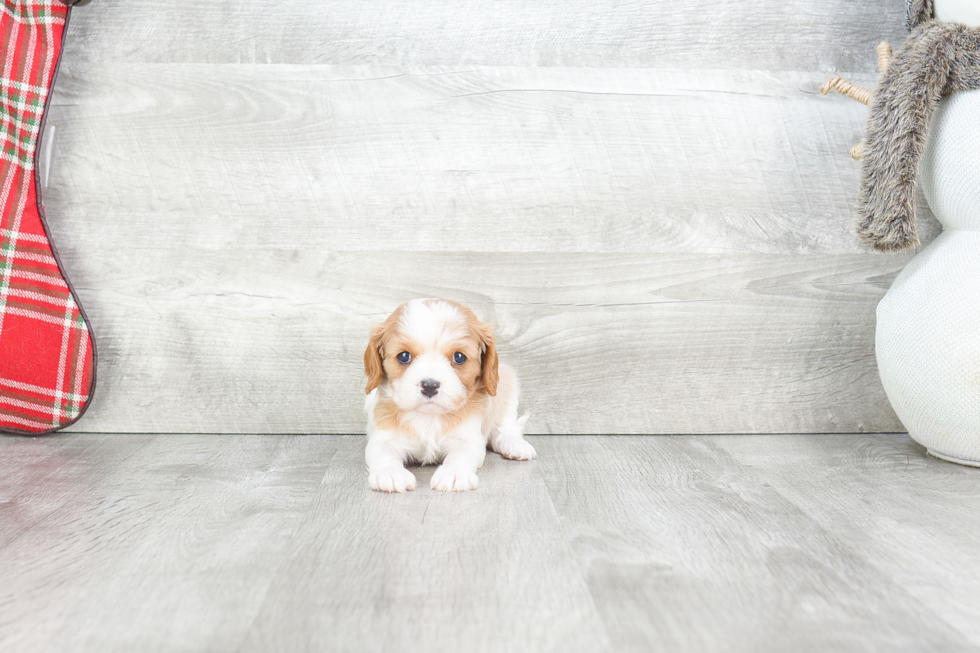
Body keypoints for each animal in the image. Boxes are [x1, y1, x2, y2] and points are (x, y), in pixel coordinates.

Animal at [364, 298, 536, 492]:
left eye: (459, 357)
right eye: (404, 356)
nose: (430, 385)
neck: (429, 416)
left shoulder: (467, 437)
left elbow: (460, 455)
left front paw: (454, 473)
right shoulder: (384, 436)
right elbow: (383, 453)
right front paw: (390, 473)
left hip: (507, 382)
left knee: (505, 427)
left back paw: (515, 445)